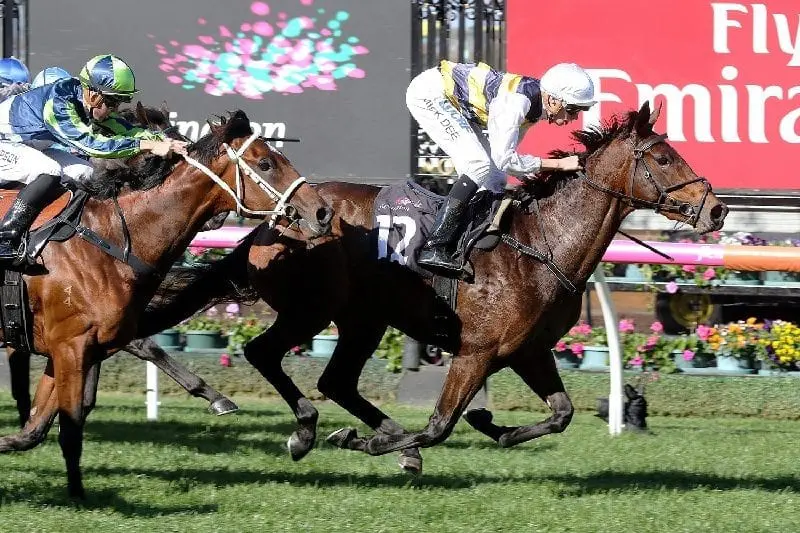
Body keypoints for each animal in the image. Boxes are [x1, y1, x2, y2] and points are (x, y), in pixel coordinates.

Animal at [0, 109, 332, 498]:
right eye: (265, 163)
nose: (322, 212)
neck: (112, 237)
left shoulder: (75, 349)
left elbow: (35, 429)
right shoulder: (71, 346)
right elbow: (69, 429)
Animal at [122, 102, 728, 472]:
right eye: (663, 157)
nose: (717, 209)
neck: (542, 244)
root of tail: (275, 220)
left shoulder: (528, 350)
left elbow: (561, 414)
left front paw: (492, 426)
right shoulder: (477, 351)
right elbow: (438, 425)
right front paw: (371, 442)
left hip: (362, 319)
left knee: (336, 380)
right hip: (312, 309)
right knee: (264, 353)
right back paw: (310, 431)